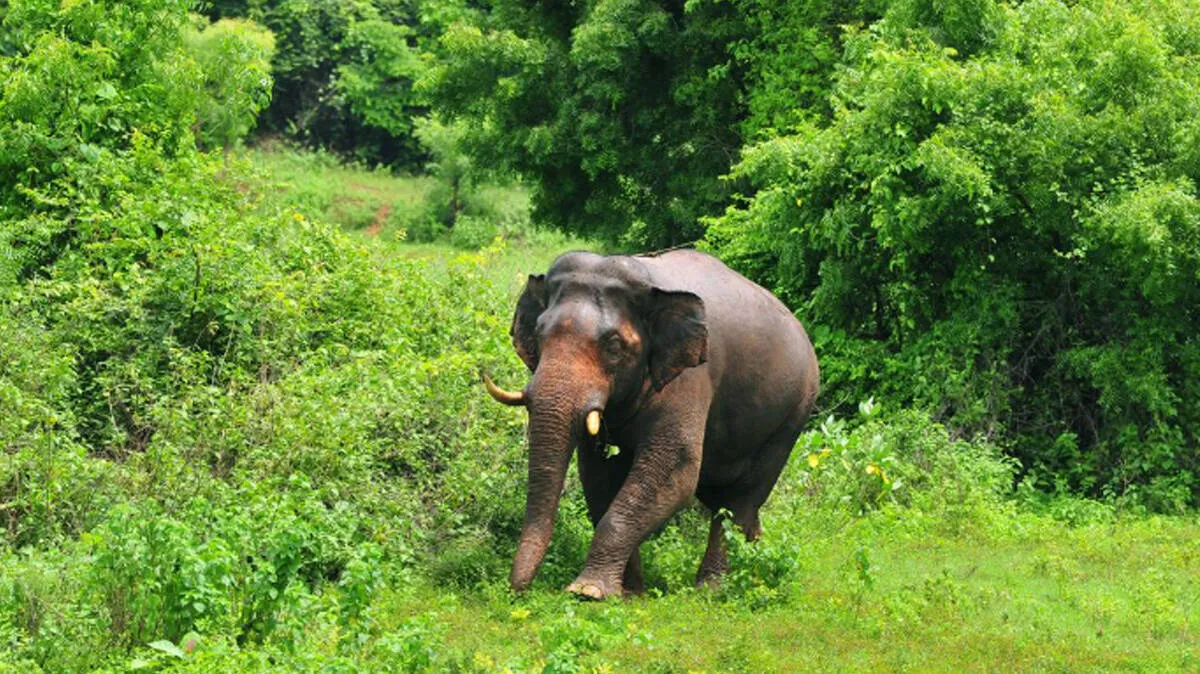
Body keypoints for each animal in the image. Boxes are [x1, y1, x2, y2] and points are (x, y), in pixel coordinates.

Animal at [483, 249, 819, 600]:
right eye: (538, 335)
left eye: (613, 346)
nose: (516, 590)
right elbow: (598, 476)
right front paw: (629, 593)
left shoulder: (690, 378)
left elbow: (675, 471)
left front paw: (587, 591)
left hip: (792, 414)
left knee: (739, 500)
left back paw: (713, 588)